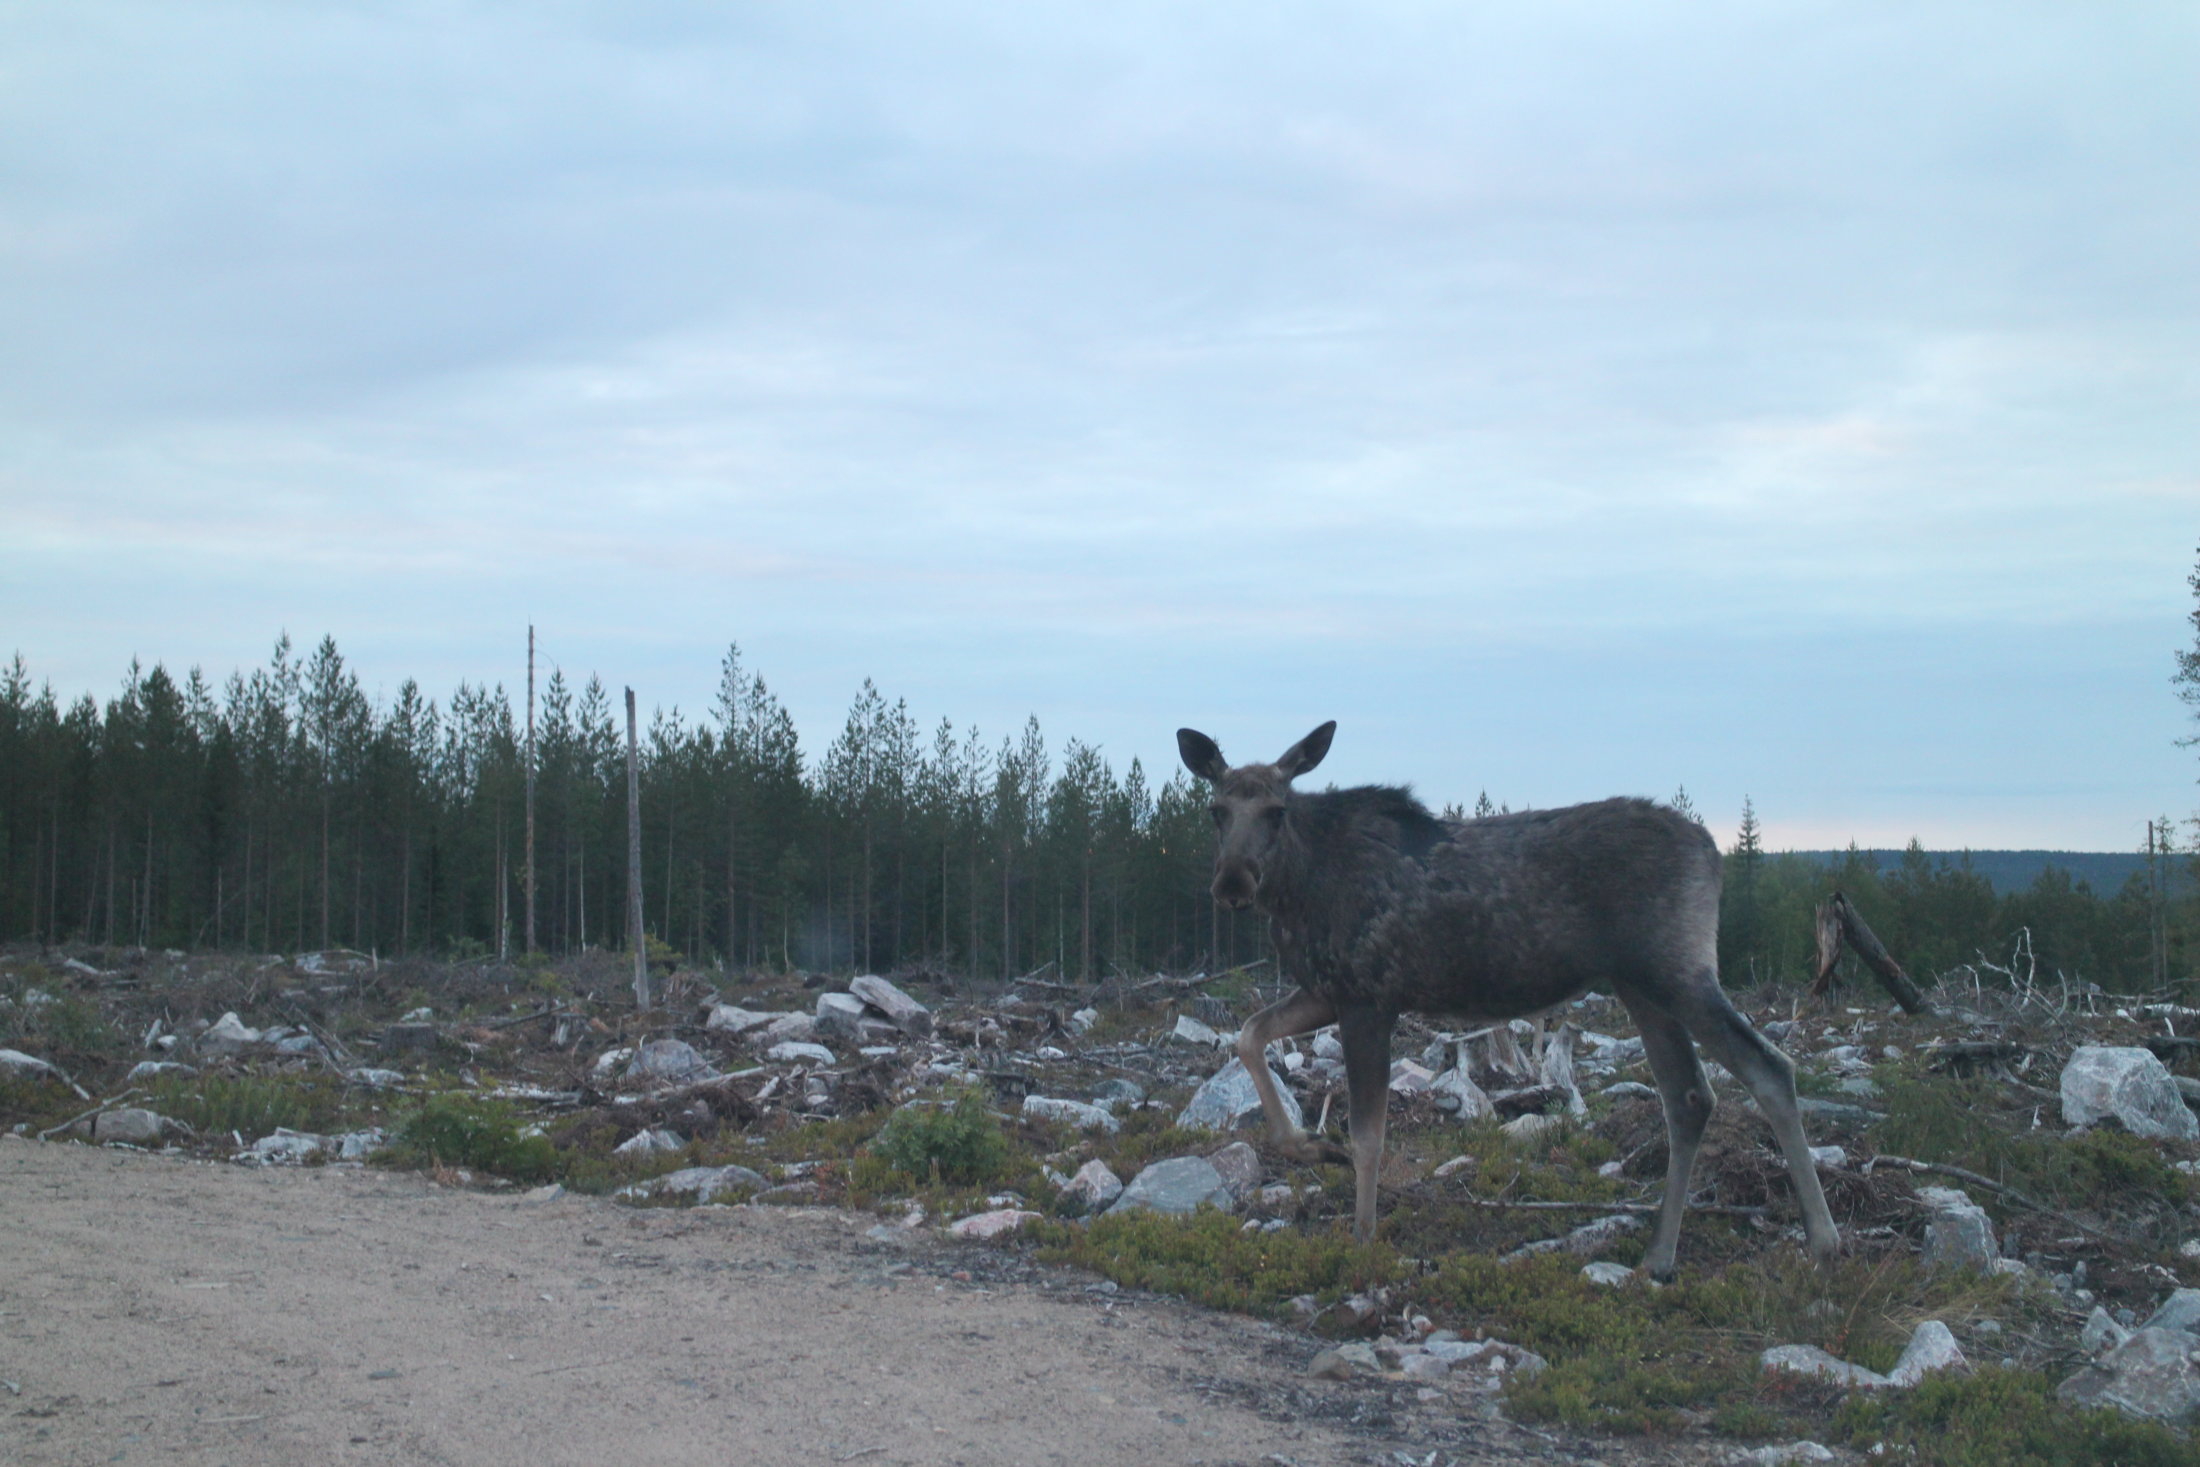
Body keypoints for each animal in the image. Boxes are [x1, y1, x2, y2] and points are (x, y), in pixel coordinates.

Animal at [1177, 720, 1839, 1280]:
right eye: (1215, 810)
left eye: (1277, 810)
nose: (1231, 882)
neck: (1296, 894)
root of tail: (1713, 851)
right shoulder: (1325, 990)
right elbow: (1250, 1037)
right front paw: (1315, 1148)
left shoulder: (1370, 996)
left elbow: (1369, 1134)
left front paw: (1362, 1238)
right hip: (1641, 985)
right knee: (1690, 1096)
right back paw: (1659, 1256)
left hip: (1677, 971)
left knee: (1769, 1067)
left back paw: (1824, 1239)